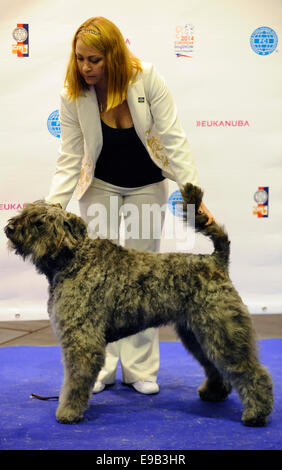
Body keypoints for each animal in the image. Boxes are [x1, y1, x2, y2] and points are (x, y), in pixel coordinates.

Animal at [4, 184, 274, 426]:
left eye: (39, 222)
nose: (9, 228)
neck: (73, 259)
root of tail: (216, 261)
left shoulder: (82, 340)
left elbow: (75, 381)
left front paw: (68, 412)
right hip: (197, 333)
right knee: (215, 364)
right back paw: (214, 393)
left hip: (221, 330)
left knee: (250, 370)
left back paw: (256, 413)